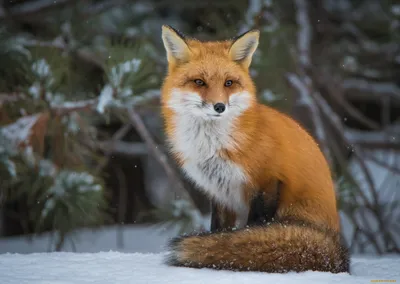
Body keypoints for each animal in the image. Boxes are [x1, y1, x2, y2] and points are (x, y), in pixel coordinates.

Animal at [159, 25, 350, 274]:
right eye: (199, 82)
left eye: (229, 83)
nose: (219, 107)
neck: (214, 146)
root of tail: (336, 254)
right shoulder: (220, 192)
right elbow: (218, 231)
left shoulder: (267, 182)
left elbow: (251, 230)